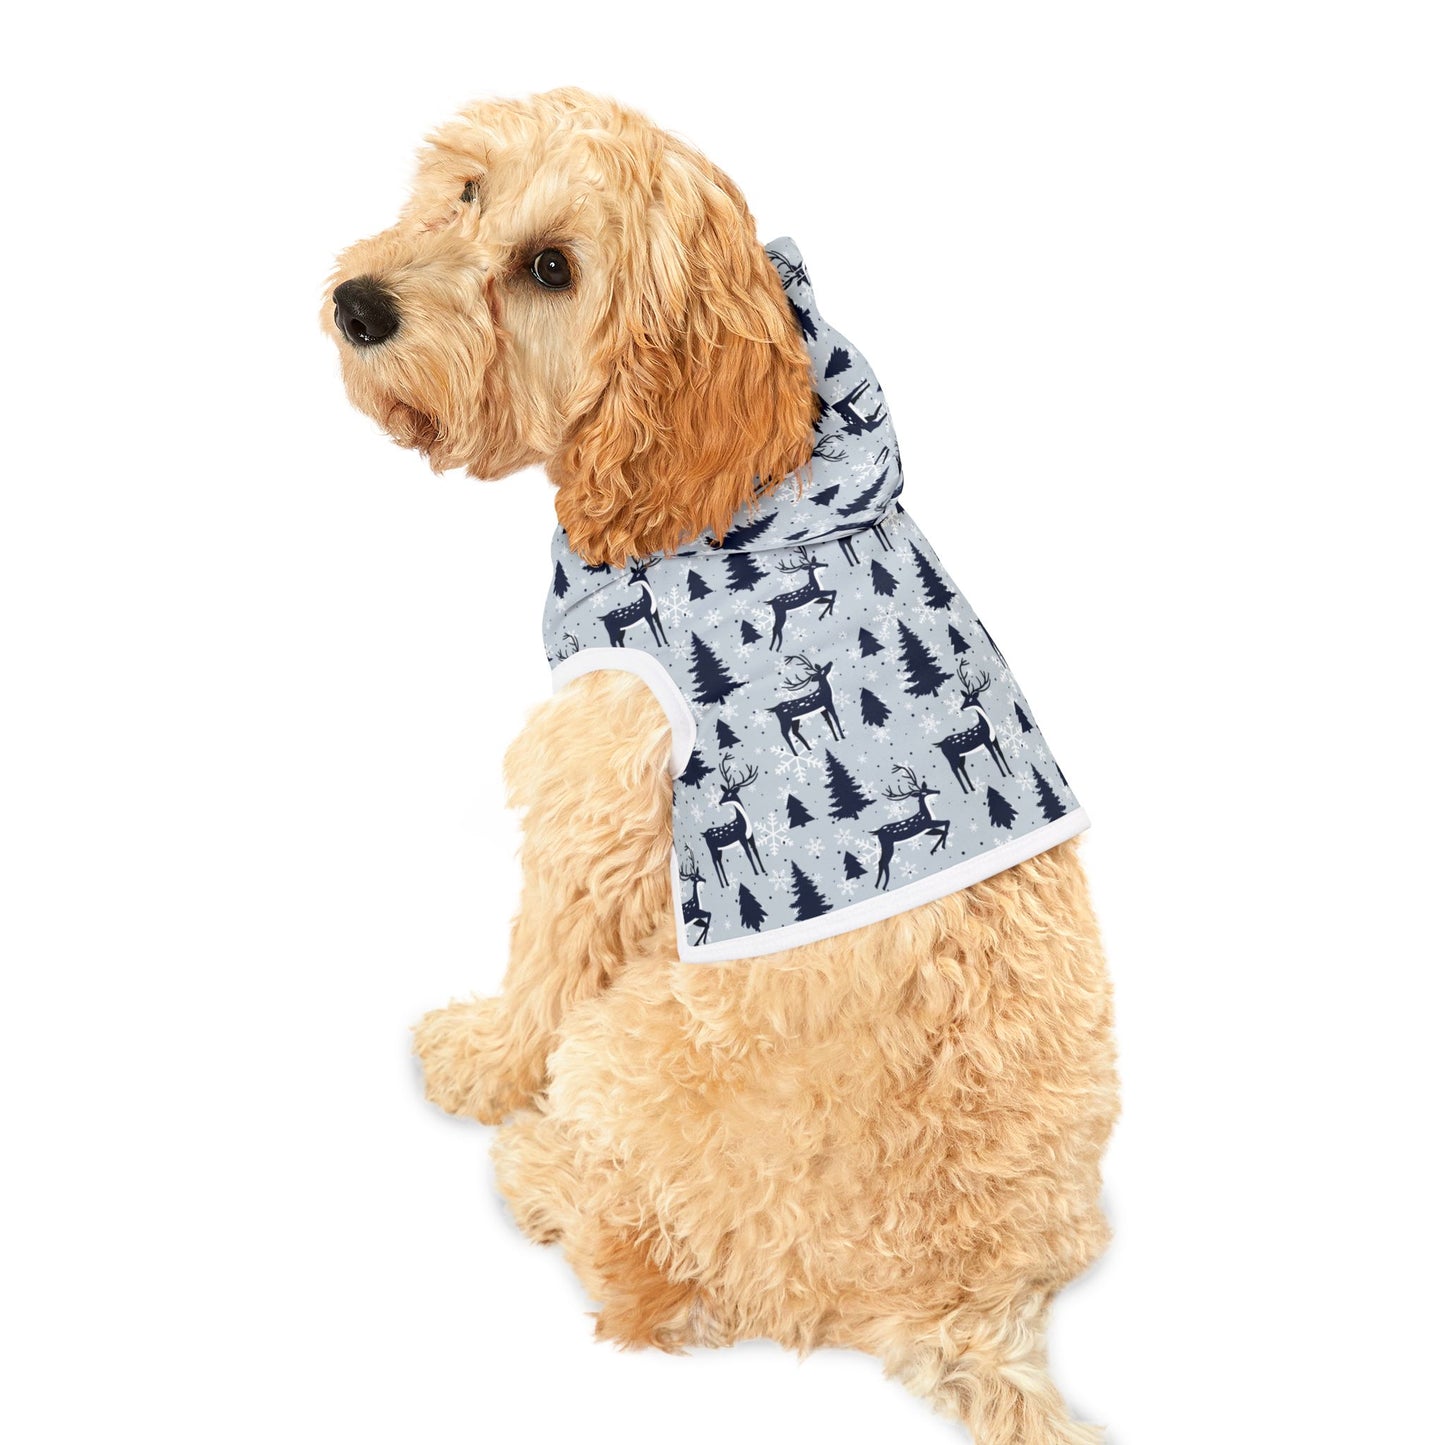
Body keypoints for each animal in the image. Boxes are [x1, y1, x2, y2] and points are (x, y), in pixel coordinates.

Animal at [702, 755, 764, 888]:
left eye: (730, 794)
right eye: (724, 793)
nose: (720, 802)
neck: (744, 822)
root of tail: (704, 833)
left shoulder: (750, 836)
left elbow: (755, 851)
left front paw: (763, 870)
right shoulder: (741, 837)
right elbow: (748, 853)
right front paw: (756, 872)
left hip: (719, 849)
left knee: (719, 862)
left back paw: (726, 883)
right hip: (712, 848)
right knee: (714, 862)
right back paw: (722, 884)